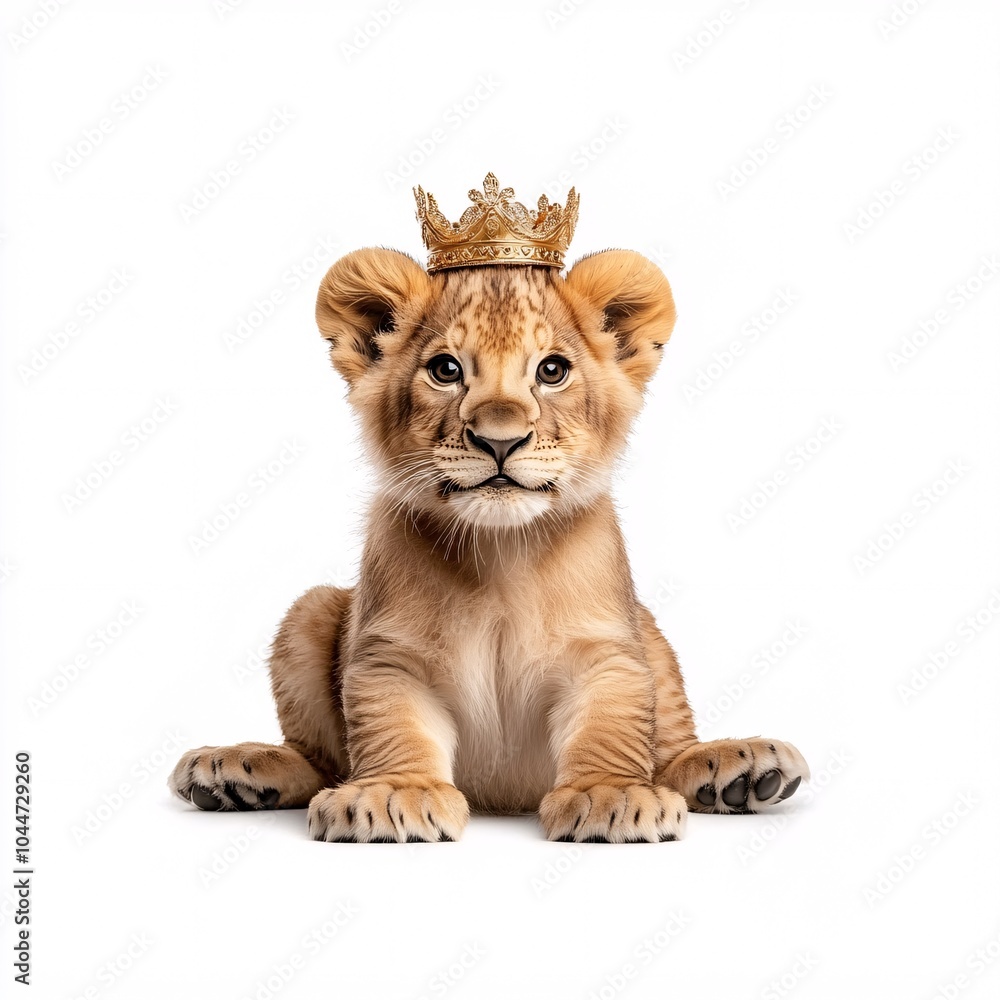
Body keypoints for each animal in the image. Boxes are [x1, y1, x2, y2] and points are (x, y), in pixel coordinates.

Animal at [169, 197, 809, 843]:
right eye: (446, 370)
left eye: (551, 371)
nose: (500, 439)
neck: (500, 553)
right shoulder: (389, 655)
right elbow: (392, 724)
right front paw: (391, 793)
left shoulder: (606, 649)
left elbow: (611, 723)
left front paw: (610, 794)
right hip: (313, 610)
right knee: (320, 757)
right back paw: (236, 769)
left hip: (648, 628)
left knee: (669, 743)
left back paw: (738, 768)